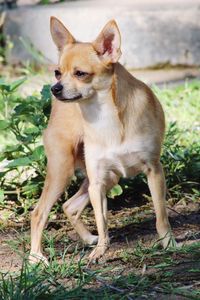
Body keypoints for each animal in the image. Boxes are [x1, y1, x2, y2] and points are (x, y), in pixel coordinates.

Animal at [28, 17, 174, 264]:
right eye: (58, 72)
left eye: (80, 73)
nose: (55, 88)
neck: (104, 116)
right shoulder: (97, 184)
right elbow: (101, 220)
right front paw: (100, 251)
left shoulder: (154, 171)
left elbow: (160, 214)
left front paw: (168, 242)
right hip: (64, 170)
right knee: (39, 213)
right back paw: (35, 257)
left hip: (106, 178)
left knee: (69, 206)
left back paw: (87, 239)